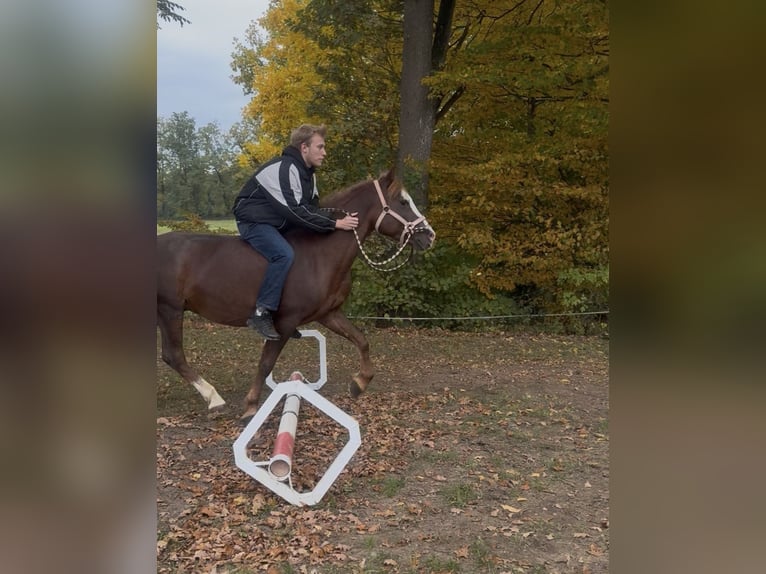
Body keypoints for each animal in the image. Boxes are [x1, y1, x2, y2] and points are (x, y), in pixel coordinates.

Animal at [157, 170, 435, 422]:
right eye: (403, 202)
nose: (429, 235)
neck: (319, 254)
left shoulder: (329, 314)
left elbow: (361, 340)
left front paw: (360, 383)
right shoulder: (285, 322)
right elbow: (266, 363)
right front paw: (251, 407)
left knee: (170, 356)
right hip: (171, 310)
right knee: (175, 355)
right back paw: (213, 398)